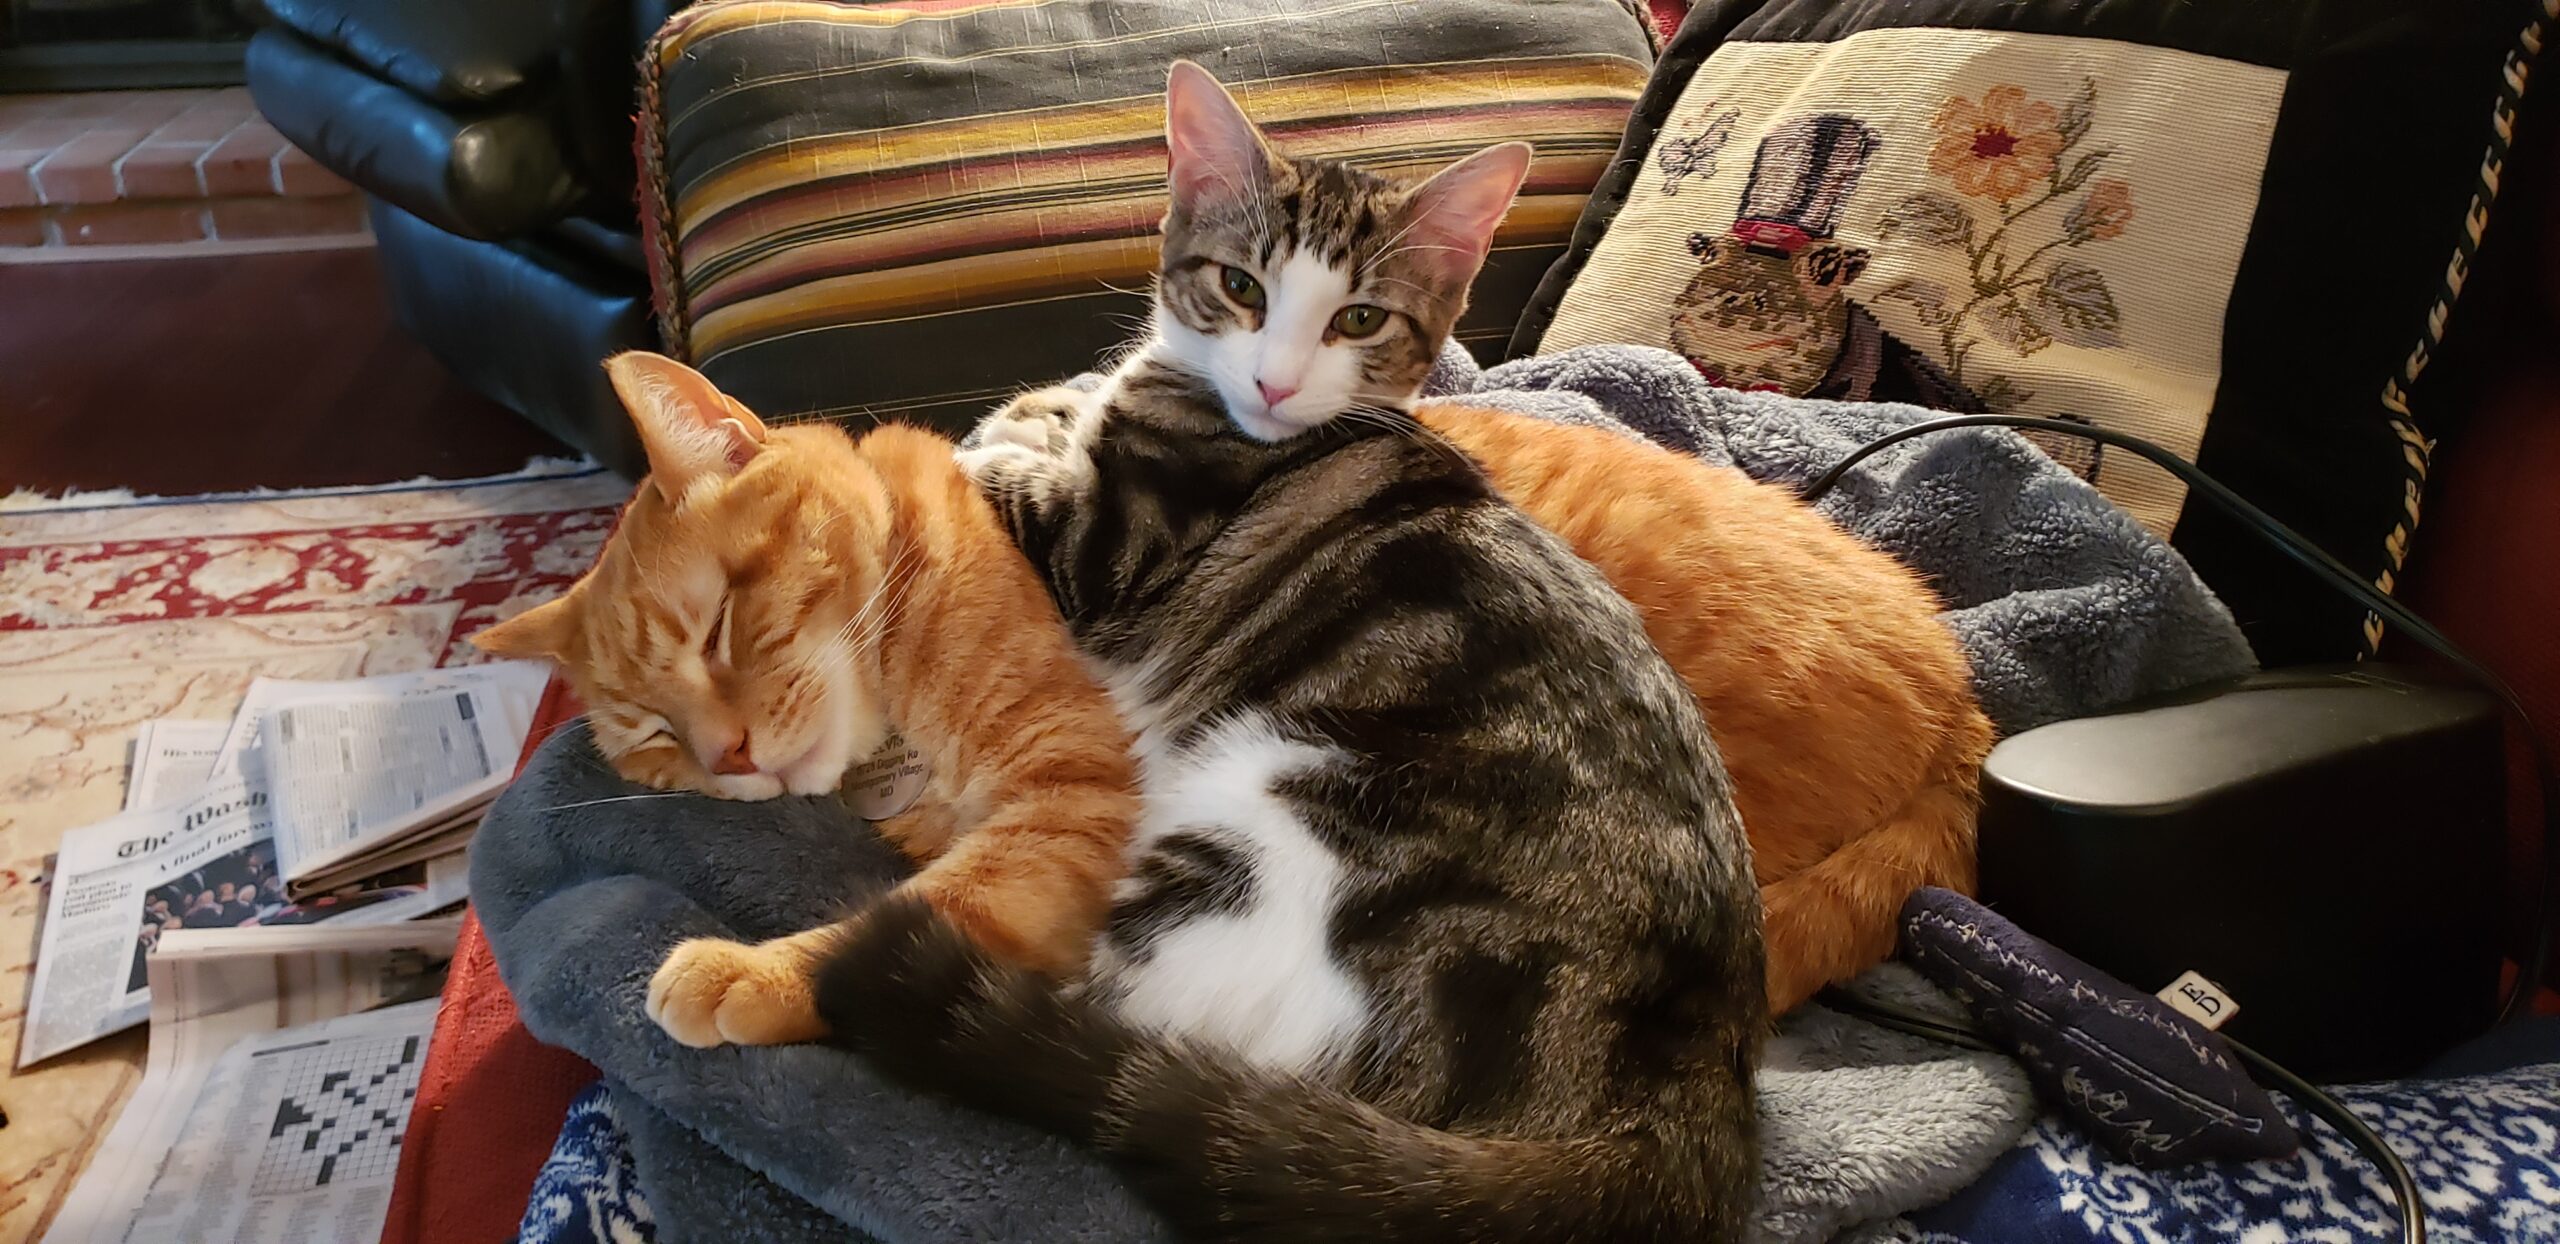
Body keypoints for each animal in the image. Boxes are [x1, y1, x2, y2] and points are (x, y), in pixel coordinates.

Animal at [470, 352, 1140, 1046]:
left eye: (717, 628)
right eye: (657, 733)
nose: (729, 756)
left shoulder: (1084, 801)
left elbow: (925, 919)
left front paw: (753, 973)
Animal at [807, 62, 1765, 1243]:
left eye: (1359, 318)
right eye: (1241, 286)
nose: (1272, 383)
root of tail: (1688, 1101)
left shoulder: (1110, 551)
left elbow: (987, 470)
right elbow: (1041, 417)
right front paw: (1040, 410)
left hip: (1260, 842)